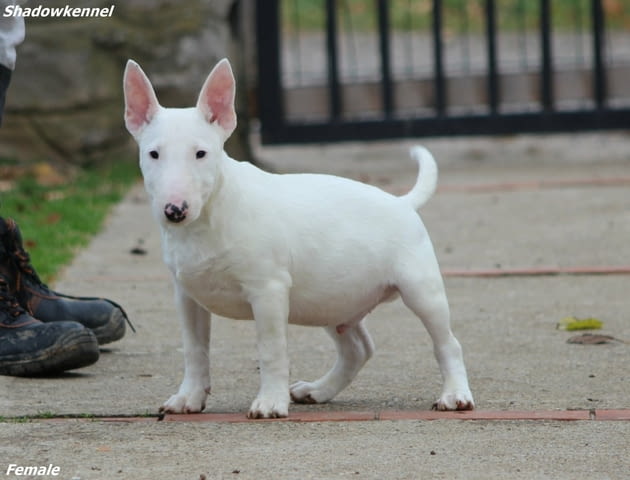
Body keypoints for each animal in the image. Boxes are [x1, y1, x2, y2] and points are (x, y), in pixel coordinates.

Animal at [122, 58, 474, 418]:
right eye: (153, 154)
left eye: (201, 153)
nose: (175, 210)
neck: (209, 216)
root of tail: (402, 202)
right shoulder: (187, 297)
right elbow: (194, 350)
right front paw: (188, 398)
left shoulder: (269, 290)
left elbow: (271, 350)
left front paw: (269, 403)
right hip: (333, 301)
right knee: (358, 349)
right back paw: (317, 391)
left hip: (421, 289)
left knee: (448, 343)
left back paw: (455, 395)